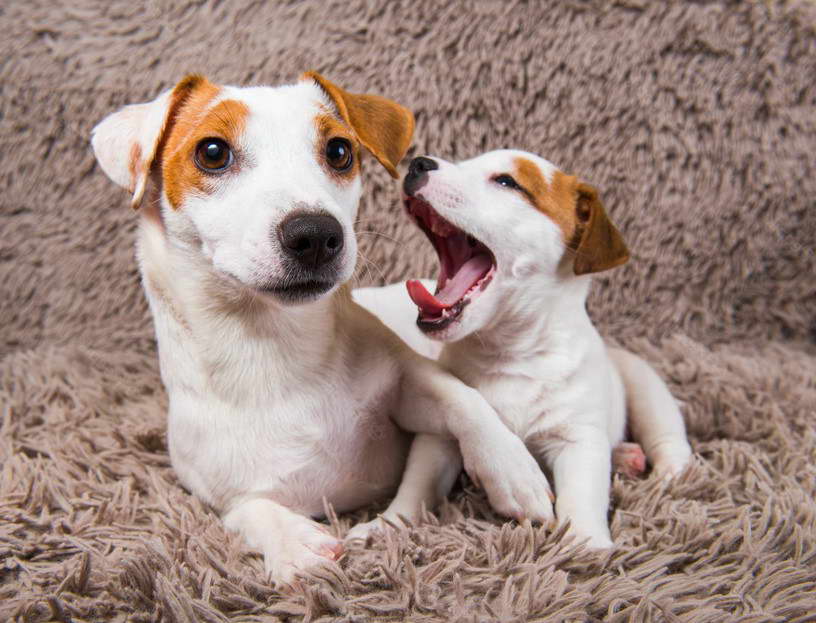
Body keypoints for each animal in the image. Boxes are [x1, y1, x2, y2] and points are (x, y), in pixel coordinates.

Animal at [91, 77, 556, 584]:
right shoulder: (219, 497)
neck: (278, 349)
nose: (314, 234)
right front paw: (297, 546)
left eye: (338, 151)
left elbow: (462, 399)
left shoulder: (407, 380)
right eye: (212, 152)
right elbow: (251, 511)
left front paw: (512, 469)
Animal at [354, 151, 692, 552]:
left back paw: (665, 471)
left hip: (643, 382)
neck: (507, 350)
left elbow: (582, 493)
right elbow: (416, 485)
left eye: (507, 182)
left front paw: (586, 544)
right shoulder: (440, 439)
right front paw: (385, 525)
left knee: (667, 434)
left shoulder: (578, 439)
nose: (418, 163)